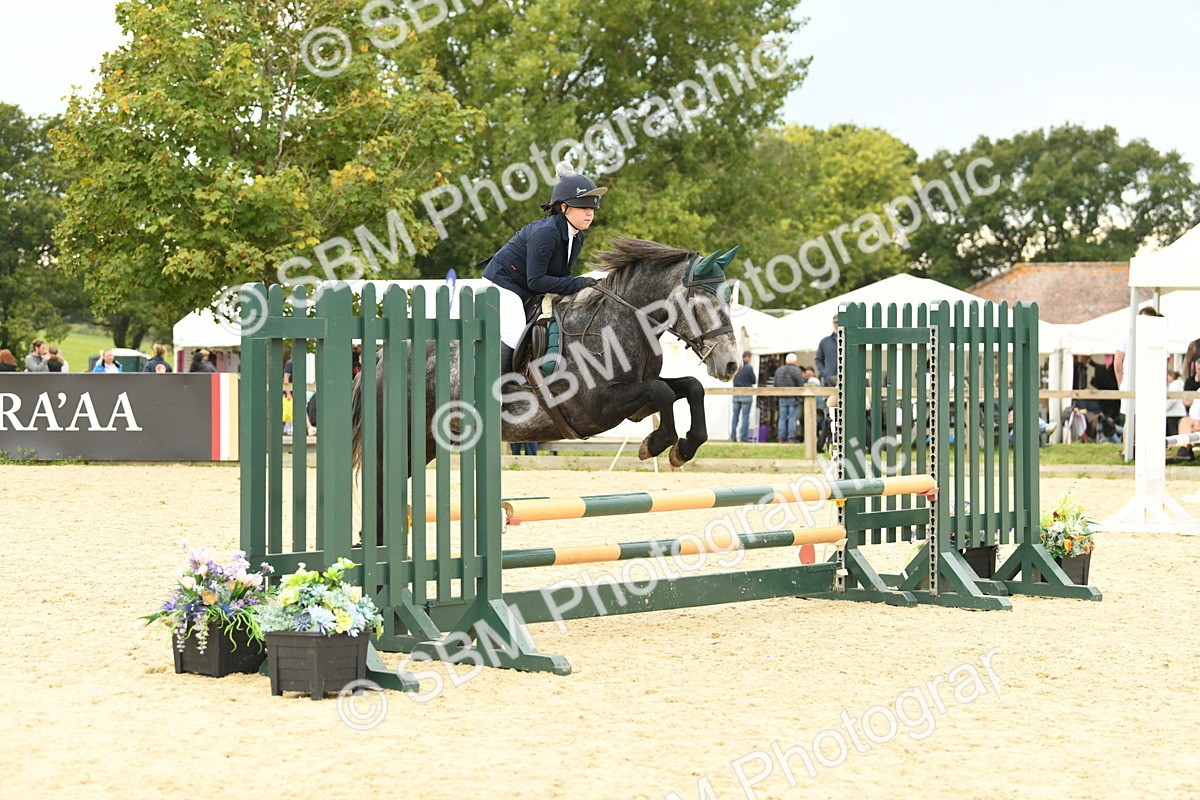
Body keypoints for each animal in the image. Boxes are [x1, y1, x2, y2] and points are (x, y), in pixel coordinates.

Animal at [351, 236, 742, 480]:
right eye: (702, 303)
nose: (731, 364)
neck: (619, 322)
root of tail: (381, 356)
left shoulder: (635, 402)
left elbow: (689, 388)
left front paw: (683, 449)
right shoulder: (599, 407)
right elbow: (663, 393)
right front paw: (654, 445)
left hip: (429, 440)